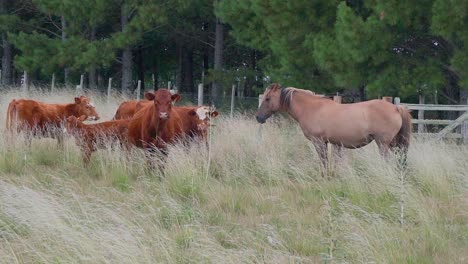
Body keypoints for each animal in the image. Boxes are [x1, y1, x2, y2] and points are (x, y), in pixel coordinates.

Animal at [254, 83, 412, 172]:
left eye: (268, 99)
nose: (258, 117)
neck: (311, 108)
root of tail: (396, 108)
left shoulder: (318, 142)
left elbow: (324, 161)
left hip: (383, 144)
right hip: (394, 144)